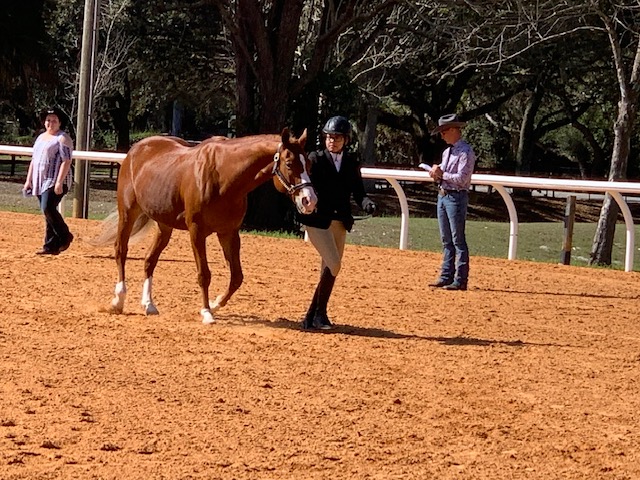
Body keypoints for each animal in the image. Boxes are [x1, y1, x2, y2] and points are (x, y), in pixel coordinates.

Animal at [90, 127, 318, 324]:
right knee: (121, 250)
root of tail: (136, 149)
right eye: (289, 163)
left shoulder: (229, 233)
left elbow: (237, 277)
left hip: (164, 225)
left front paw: (215, 304)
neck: (224, 176)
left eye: (308, 164)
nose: (309, 200)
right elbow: (204, 274)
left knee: (149, 261)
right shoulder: (197, 232)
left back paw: (149, 304)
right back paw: (118, 301)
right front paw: (207, 312)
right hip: (128, 213)